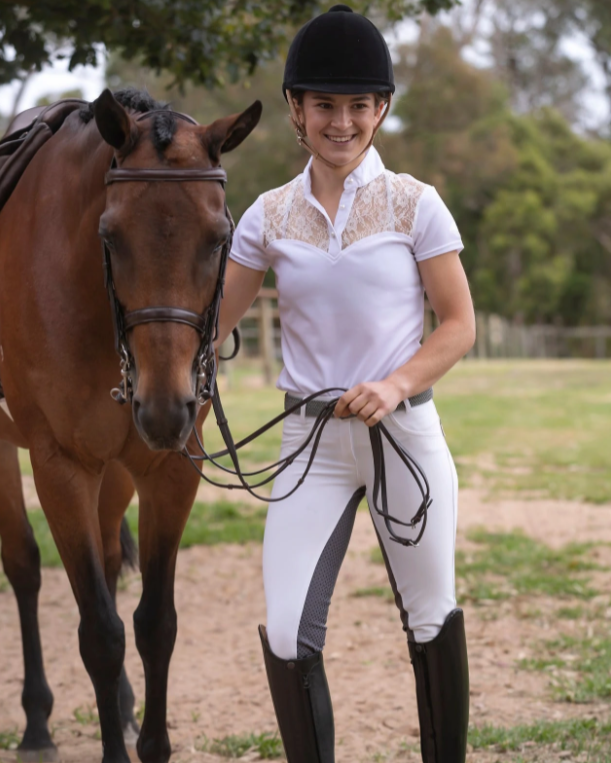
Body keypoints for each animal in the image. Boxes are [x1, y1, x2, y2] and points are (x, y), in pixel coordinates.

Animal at [0, 91, 260, 763]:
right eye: (109, 237)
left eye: (220, 238)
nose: (164, 407)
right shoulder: (60, 468)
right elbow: (100, 632)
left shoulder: (169, 469)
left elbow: (153, 624)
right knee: (24, 567)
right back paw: (36, 722)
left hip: (117, 470)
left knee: (113, 559)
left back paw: (117, 703)